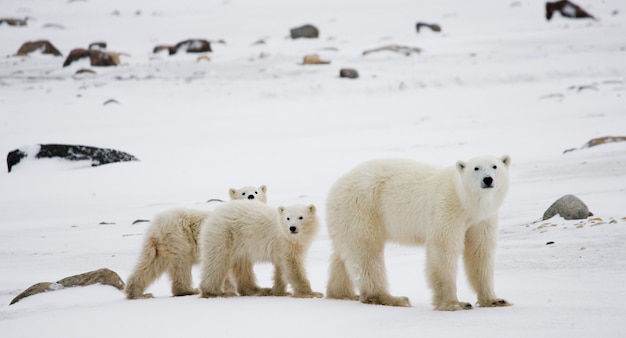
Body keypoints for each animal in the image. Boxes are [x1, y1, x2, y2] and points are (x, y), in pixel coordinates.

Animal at [124, 186, 266, 300]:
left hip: (159, 244)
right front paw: (229, 290)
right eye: (243, 193)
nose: (251, 196)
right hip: (179, 237)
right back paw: (189, 290)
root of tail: (156, 226)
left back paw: (138, 293)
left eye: (256, 191)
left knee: (150, 264)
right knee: (181, 263)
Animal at [324, 156, 510, 312]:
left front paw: (495, 300)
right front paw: (454, 304)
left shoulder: (482, 220)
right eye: (476, 168)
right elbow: (443, 249)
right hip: (363, 207)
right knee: (367, 254)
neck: (466, 202)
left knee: (344, 254)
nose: (488, 179)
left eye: (495, 166)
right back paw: (392, 298)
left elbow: (479, 252)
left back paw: (342, 293)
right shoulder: (447, 209)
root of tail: (335, 186)